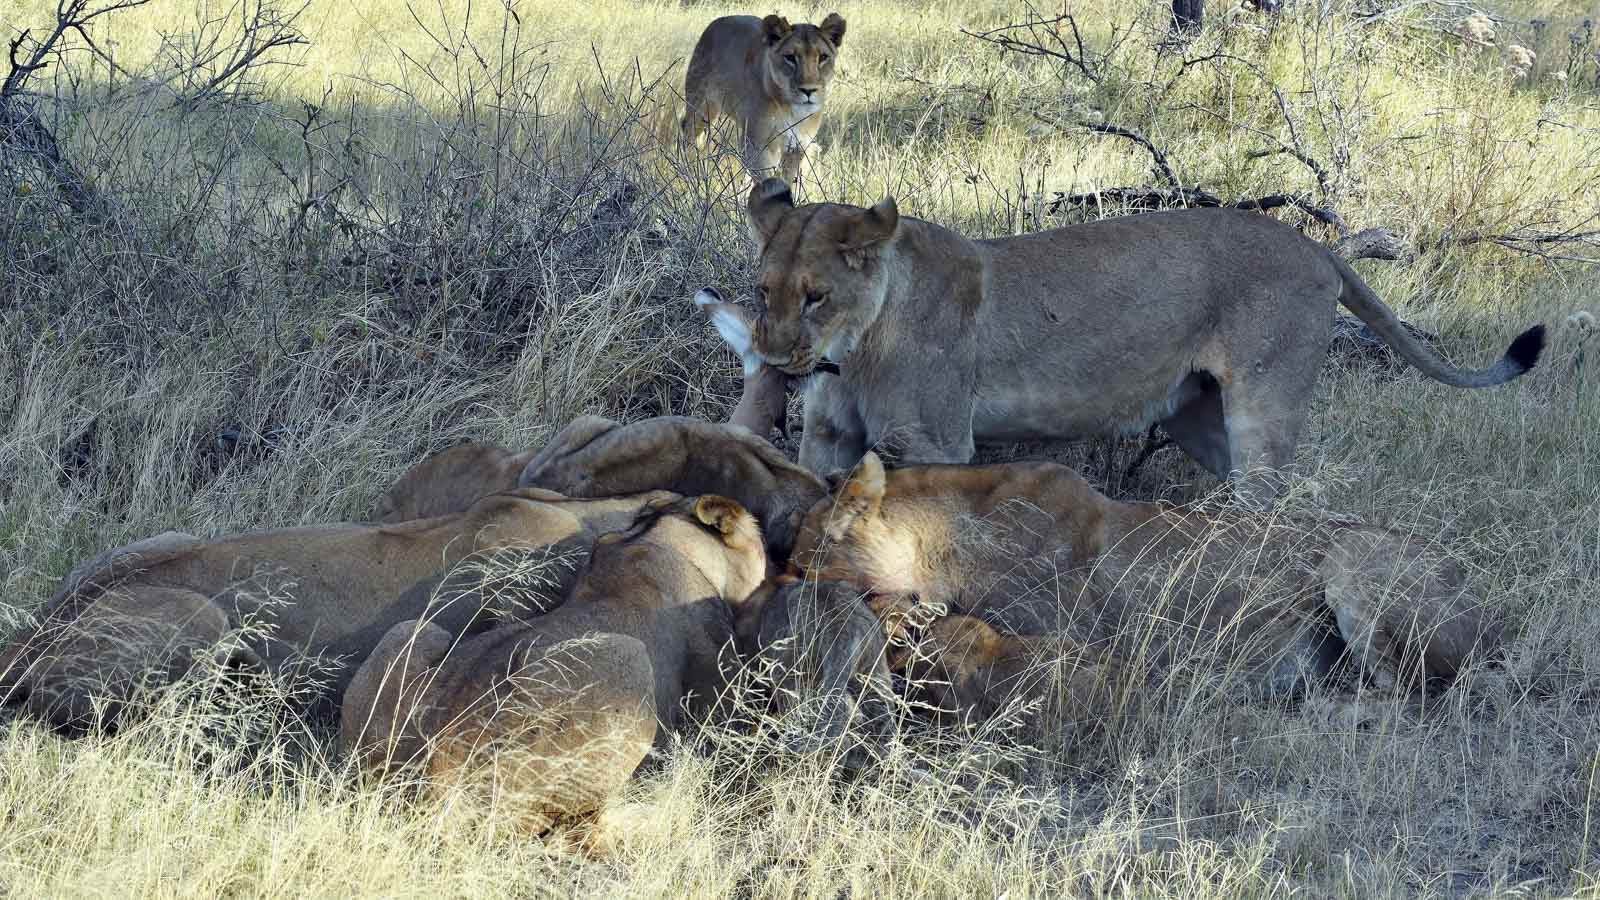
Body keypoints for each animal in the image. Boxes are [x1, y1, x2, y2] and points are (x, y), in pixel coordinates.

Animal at [338, 494, 766, 841]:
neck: (650, 540)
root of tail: (437, 773)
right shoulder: (721, 685)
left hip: (411, 633)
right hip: (628, 658)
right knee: (583, 832)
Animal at [682, 13, 846, 185]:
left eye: (823, 57)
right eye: (790, 57)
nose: (809, 90)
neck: (793, 110)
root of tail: (716, 22)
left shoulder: (798, 147)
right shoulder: (759, 147)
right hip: (700, 108)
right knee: (689, 135)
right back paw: (690, 174)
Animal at [738, 177, 1545, 501]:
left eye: (817, 296)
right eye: (763, 290)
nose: (772, 359)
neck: (856, 347)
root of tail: (1316, 247)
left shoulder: (937, 443)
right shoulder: (829, 437)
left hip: (1264, 403)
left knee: (1274, 503)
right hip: (1197, 414)